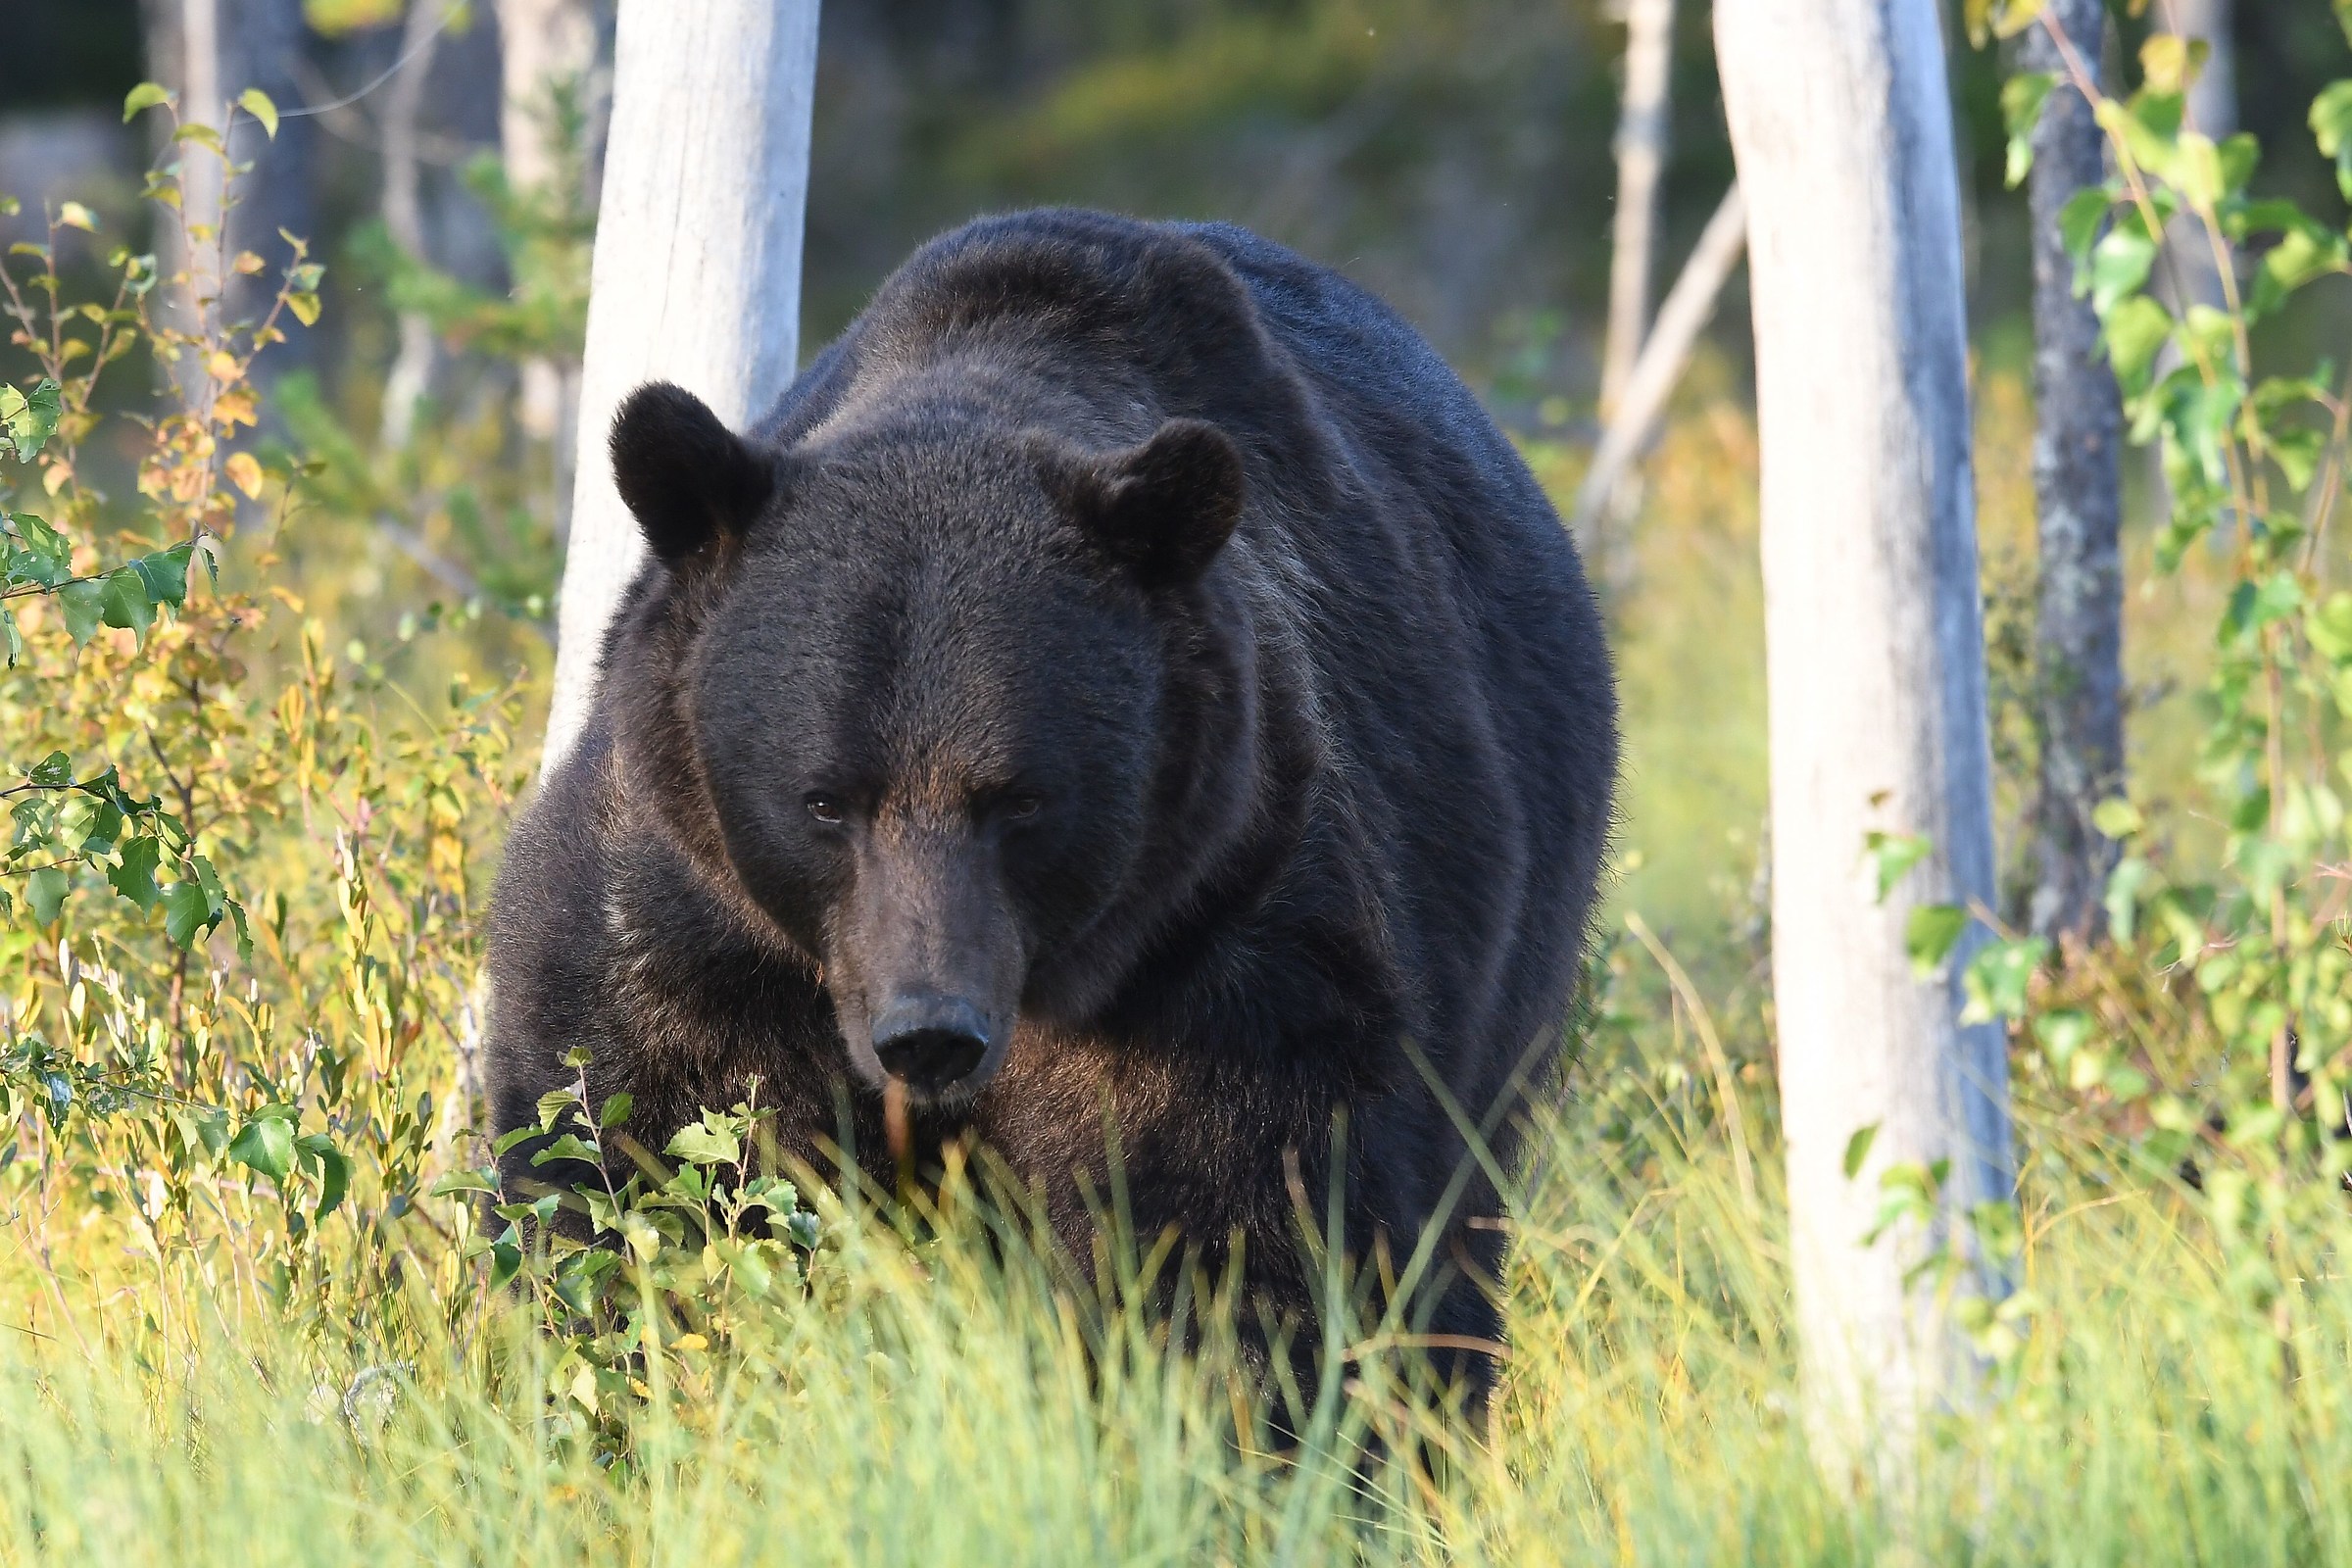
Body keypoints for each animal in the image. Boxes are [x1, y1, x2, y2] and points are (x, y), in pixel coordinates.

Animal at [486, 208, 1618, 1403]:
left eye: (1020, 799)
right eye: (826, 799)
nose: (929, 1035)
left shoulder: (1223, 938)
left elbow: (1241, 1236)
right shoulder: (696, 916)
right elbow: (619, 1148)